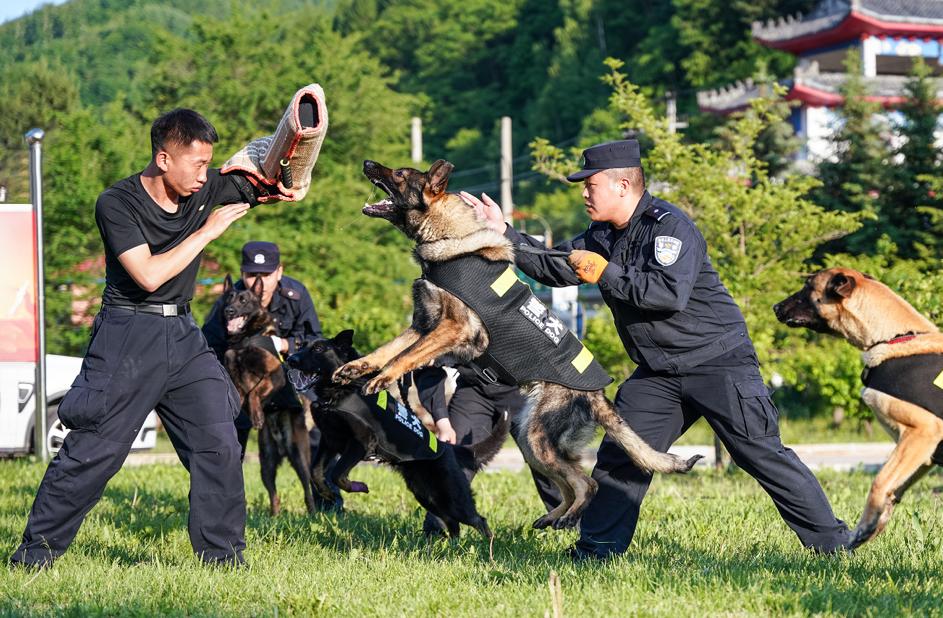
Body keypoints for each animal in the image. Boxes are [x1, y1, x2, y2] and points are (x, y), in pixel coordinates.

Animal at [219, 274, 318, 516]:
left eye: (244, 300)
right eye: (228, 298)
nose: (229, 311)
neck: (244, 338)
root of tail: (281, 444)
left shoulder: (275, 376)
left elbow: (254, 391)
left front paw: (256, 414)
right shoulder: (234, 375)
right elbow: (241, 394)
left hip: (300, 458)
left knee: (307, 487)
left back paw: (313, 512)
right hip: (266, 464)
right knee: (274, 494)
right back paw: (274, 516)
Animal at [286, 330, 506, 548]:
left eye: (318, 349)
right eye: (300, 346)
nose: (290, 359)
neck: (339, 391)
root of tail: (448, 447)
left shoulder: (361, 443)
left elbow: (337, 474)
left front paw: (357, 487)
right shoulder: (330, 441)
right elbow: (315, 472)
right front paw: (328, 493)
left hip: (452, 497)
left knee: (478, 519)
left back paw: (487, 548)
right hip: (426, 495)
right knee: (453, 523)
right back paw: (451, 548)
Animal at [334, 159, 700, 528]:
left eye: (399, 174)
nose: (367, 163)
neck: (451, 237)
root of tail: (596, 394)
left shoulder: (453, 329)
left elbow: (404, 357)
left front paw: (382, 378)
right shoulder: (423, 326)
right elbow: (386, 350)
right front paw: (355, 368)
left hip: (538, 439)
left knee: (587, 483)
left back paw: (567, 518)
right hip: (529, 439)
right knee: (570, 483)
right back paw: (551, 518)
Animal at [776, 268, 943, 548]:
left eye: (807, 286)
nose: (775, 307)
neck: (893, 337)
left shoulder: (922, 432)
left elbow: (879, 482)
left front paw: (865, 526)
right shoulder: (922, 453)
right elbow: (892, 489)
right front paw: (873, 525)